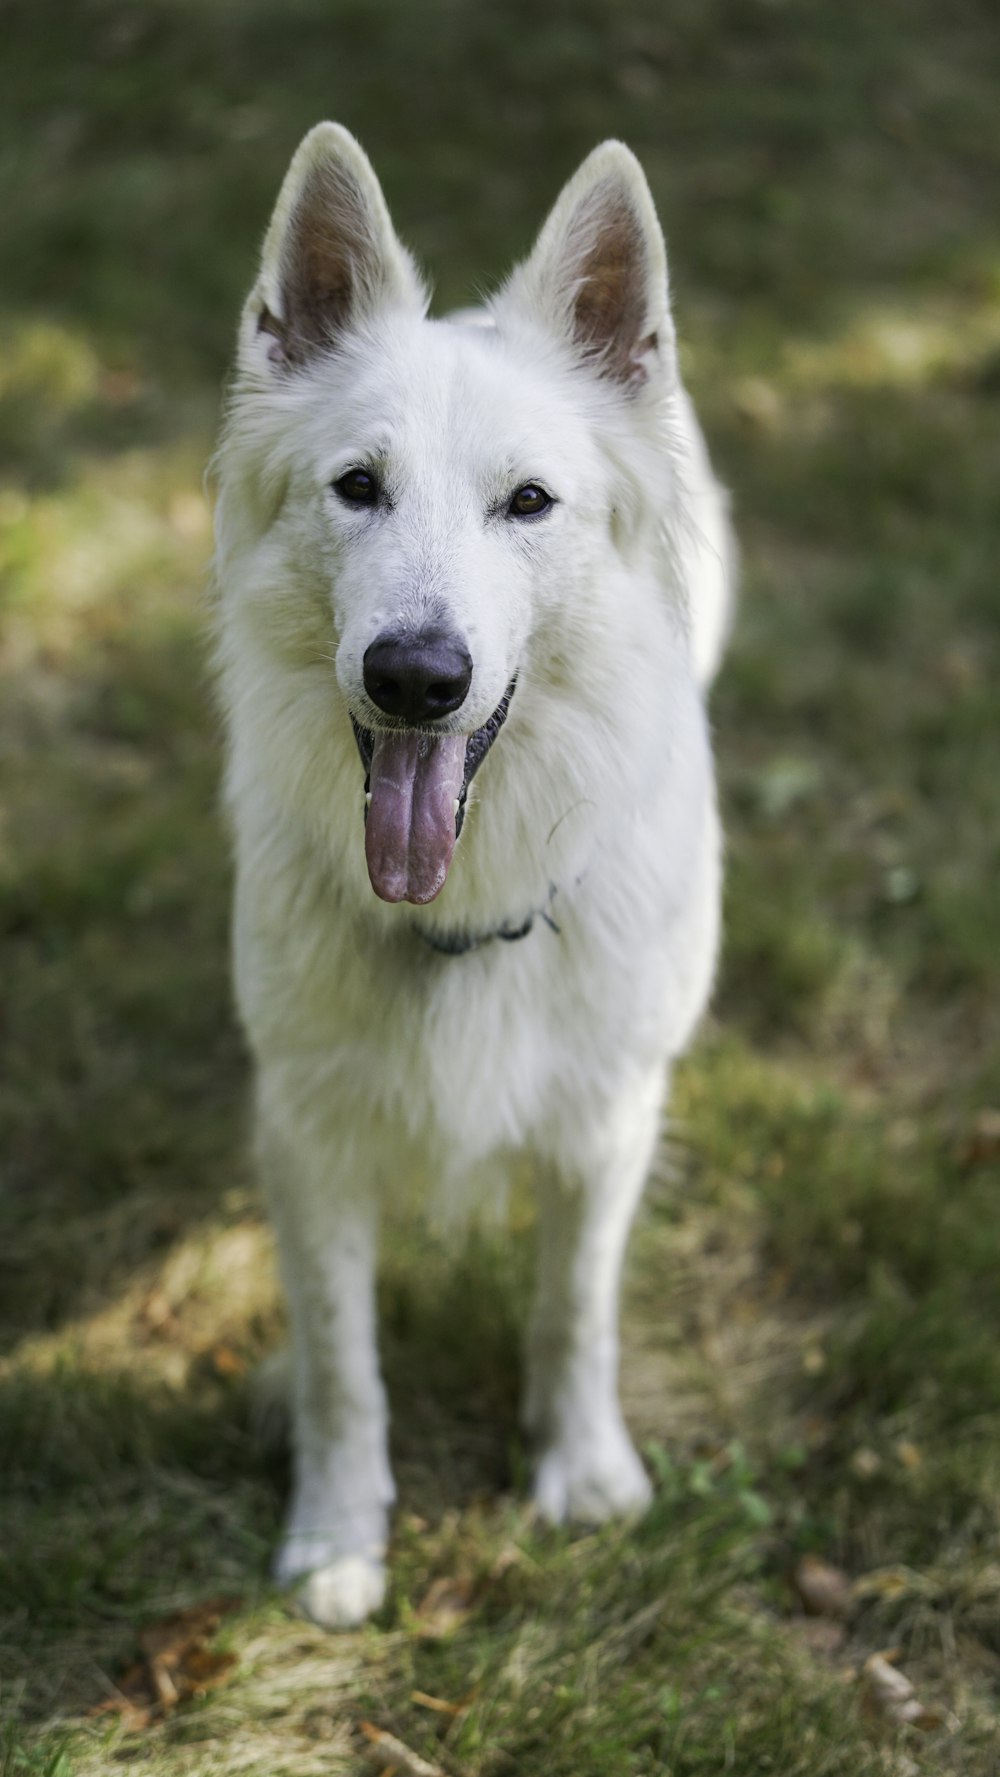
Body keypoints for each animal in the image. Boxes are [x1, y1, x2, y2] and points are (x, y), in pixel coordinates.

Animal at [211, 121, 731, 1627]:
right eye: (358, 487)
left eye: (528, 503)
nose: (415, 678)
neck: (464, 910)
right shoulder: (308, 1131)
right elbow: (343, 1359)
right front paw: (337, 1537)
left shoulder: (610, 1116)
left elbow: (575, 1307)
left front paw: (583, 1471)